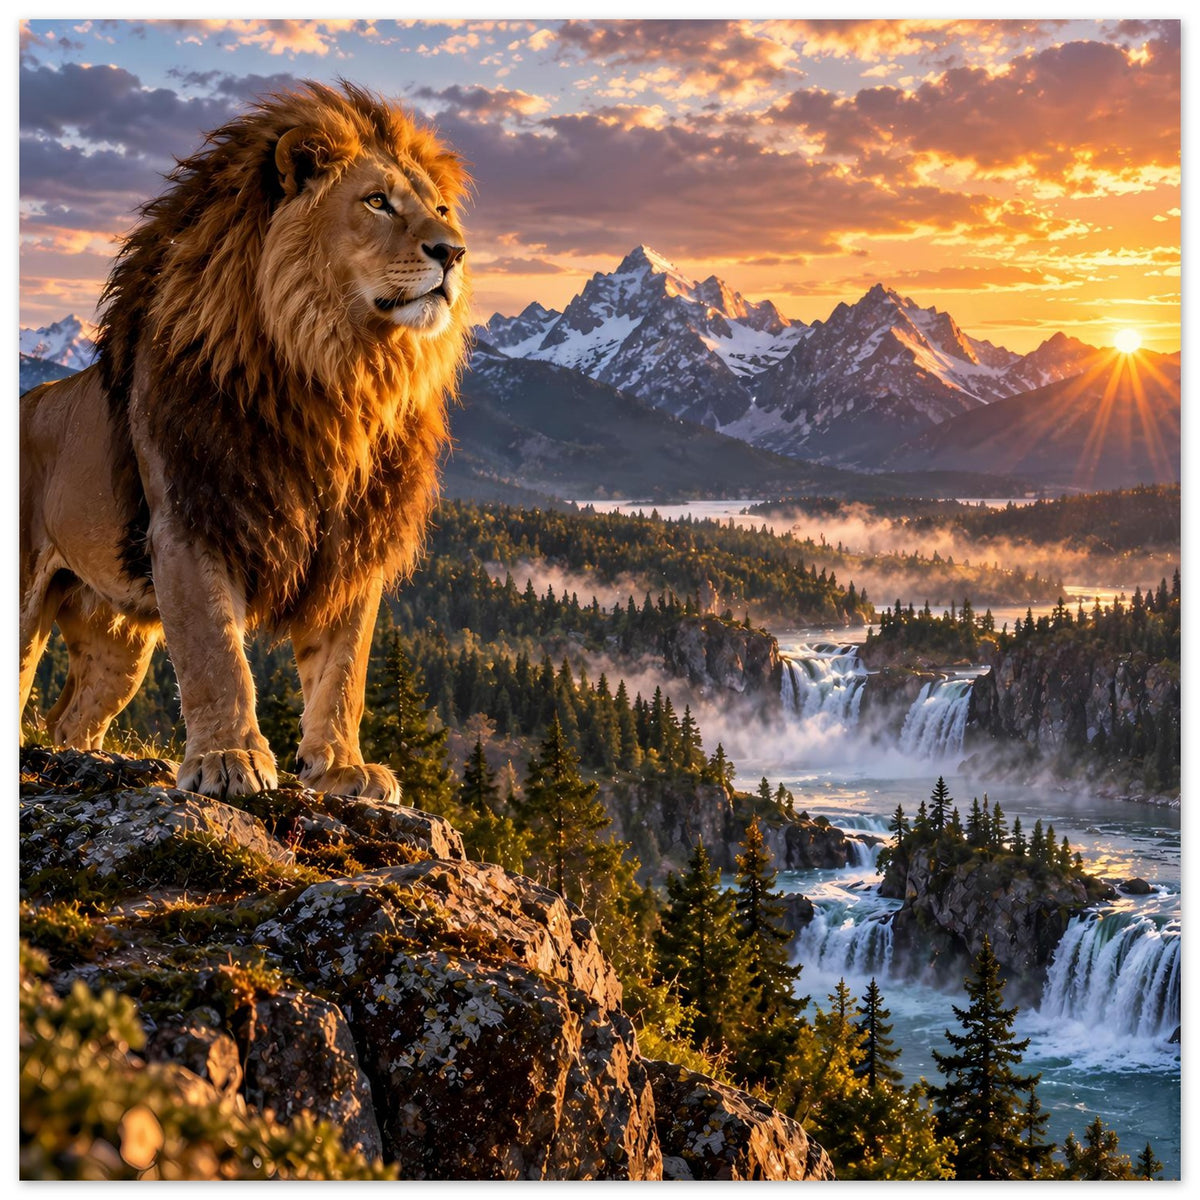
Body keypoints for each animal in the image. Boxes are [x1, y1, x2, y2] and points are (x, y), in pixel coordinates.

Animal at [19, 80, 471, 803]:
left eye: (441, 209)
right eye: (376, 201)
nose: (453, 252)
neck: (336, 373)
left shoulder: (351, 545)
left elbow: (344, 669)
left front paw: (341, 767)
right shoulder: (191, 520)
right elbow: (216, 655)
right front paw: (228, 758)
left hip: (118, 639)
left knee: (69, 720)